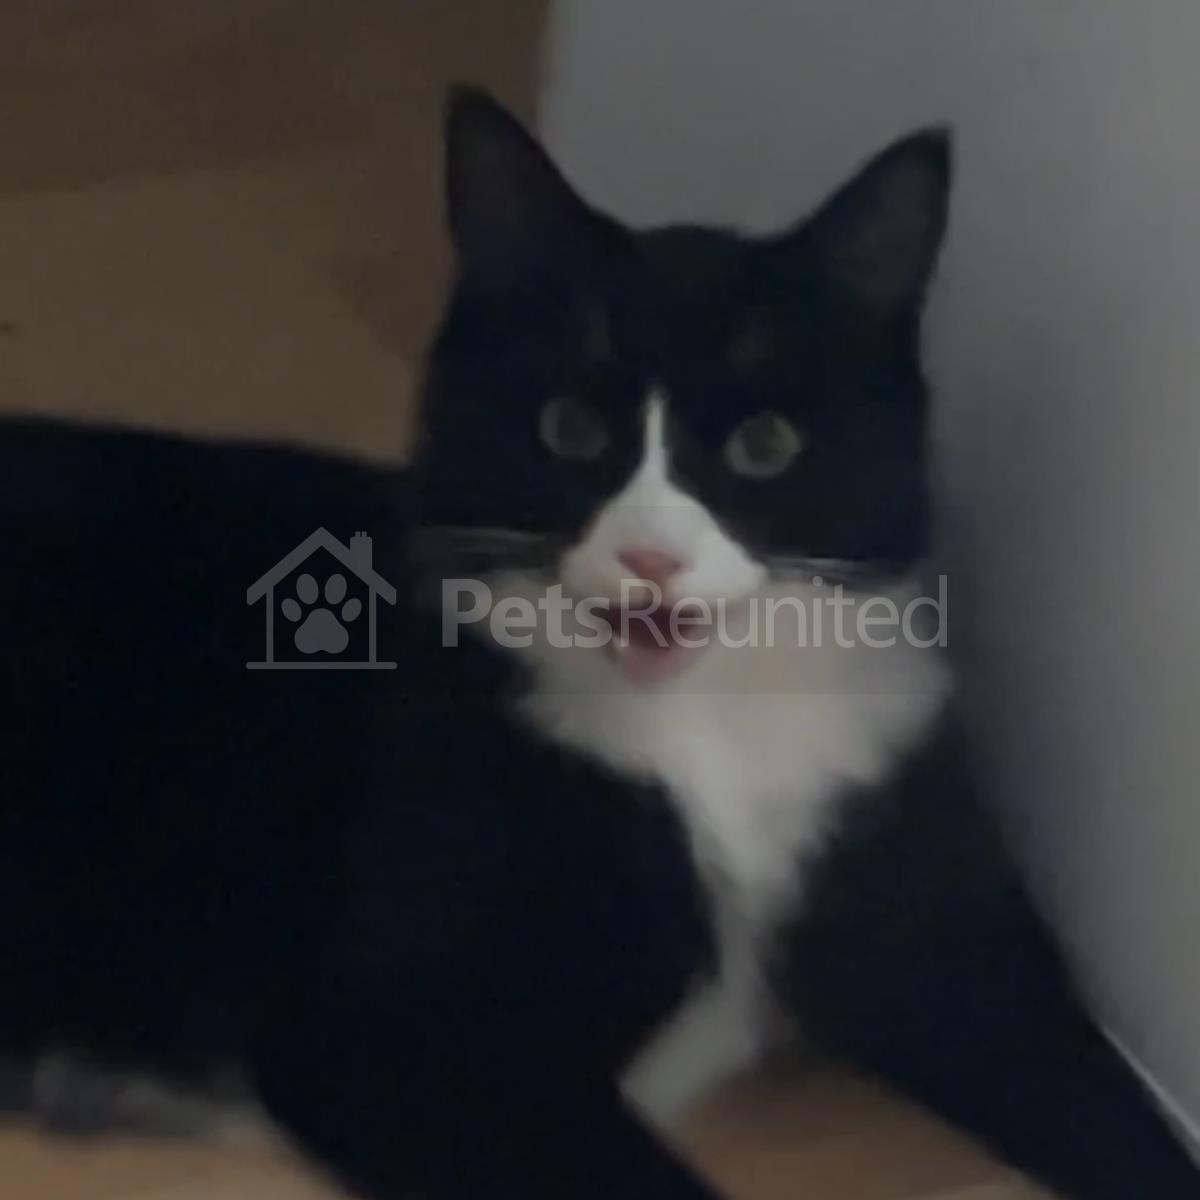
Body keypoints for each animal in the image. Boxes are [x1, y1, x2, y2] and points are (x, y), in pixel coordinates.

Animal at [0, 86, 1195, 1200]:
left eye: (766, 444)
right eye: (570, 428)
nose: (650, 559)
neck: (707, 721)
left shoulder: (946, 923)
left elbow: (1099, 1096)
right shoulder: (401, 1037)